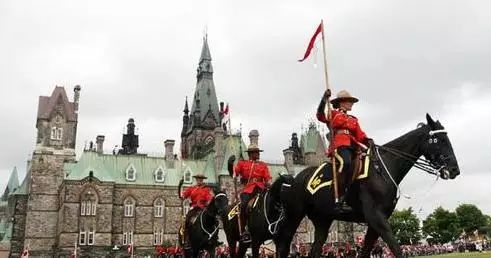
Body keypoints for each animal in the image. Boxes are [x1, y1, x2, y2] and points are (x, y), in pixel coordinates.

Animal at [276, 115, 462, 258]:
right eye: (438, 139)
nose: (454, 170)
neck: (382, 169)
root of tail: (293, 177)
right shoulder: (376, 217)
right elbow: (396, 248)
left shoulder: (376, 221)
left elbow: (366, 251)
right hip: (294, 217)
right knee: (283, 244)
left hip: (322, 220)